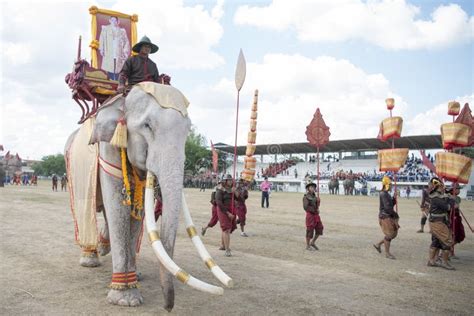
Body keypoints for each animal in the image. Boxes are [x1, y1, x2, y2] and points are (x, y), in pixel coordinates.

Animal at [65, 83, 231, 312]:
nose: (168, 308)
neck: (123, 100)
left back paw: (111, 252)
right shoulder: (108, 152)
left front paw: (131, 285)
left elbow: (136, 215)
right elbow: (118, 209)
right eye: (147, 126)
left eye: (188, 130)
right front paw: (125, 299)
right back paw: (90, 259)